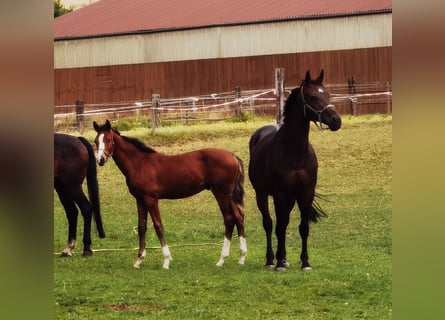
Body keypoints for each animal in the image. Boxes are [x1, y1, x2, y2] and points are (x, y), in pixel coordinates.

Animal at [93, 119, 246, 268]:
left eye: (108, 139)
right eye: (95, 141)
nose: (100, 160)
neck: (140, 164)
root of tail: (232, 156)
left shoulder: (151, 199)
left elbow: (158, 226)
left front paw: (166, 260)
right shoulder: (140, 199)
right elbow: (142, 227)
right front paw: (139, 260)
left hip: (221, 194)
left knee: (229, 219)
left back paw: (222, 259)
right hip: (229, 196)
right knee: (239, 217)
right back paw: (241, 258)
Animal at [248, 69, 342, 270]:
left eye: (327, 94)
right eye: (313, 96)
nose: (336, 121)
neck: (295, 153)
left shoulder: (305, 193)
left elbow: (302, 228)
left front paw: (305, 262)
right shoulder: (279, 194)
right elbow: (278, 226)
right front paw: (279, 263)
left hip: (291, 198)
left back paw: (283, 258)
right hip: (262, 194)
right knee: (269, 224)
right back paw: (271, 260)